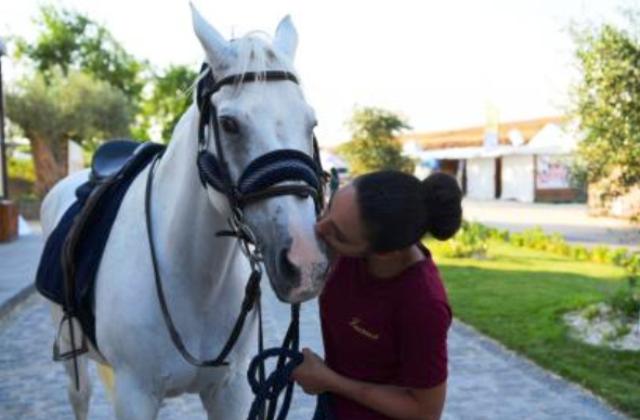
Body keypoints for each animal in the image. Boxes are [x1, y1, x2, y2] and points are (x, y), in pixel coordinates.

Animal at [39, 4, 328, 418]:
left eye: (310, 122)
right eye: (229, 124)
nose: (305, 262)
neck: (191, 277)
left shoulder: (231, 389)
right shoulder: (136, 394)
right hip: (70, 350)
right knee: (80, 395)